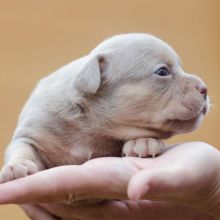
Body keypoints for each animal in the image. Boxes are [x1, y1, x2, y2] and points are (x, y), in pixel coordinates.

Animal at [0, 33, 209, 204]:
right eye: (162, 72)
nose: (205, 89)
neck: (90, 121)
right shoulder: (32, 131)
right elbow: (22, 147)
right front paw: (17, 166)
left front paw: (143, 142)